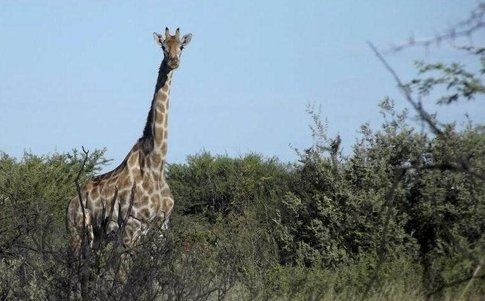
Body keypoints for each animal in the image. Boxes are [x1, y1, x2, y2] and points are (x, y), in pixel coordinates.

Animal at [67, 27, 192, 254]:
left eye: (182, 47)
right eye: (163, 47)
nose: (173, 61)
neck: (155, 164)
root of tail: (69, 204)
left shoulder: (161, 228)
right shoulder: (131, 227)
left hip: (97, 238)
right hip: (76, 232)